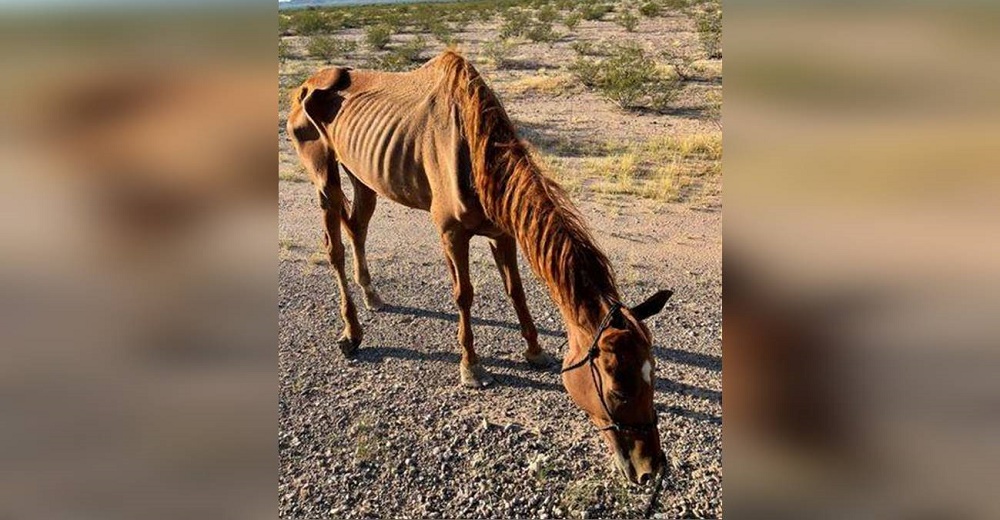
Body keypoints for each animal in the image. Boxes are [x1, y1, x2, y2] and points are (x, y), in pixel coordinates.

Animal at [288, 50, 672, 482]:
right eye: (617, 390)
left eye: (653, 376)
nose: (652, 469)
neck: (474, 151)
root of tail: (305, 85)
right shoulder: (452, 233)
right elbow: (464, 296)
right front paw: (471, 367)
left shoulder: (502, 232)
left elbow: (516, 291)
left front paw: (534, 350)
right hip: (324, 177)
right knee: (334, 248)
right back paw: (351, 332)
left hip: (363, 178)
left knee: (357, 229)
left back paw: (373, 296)